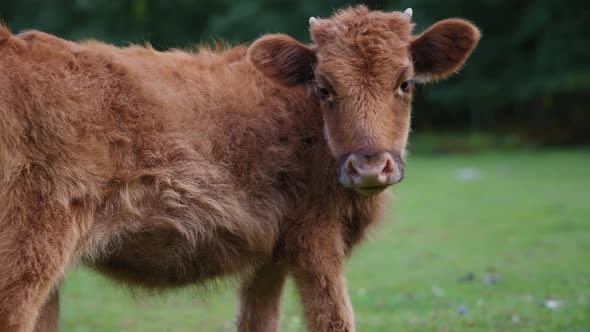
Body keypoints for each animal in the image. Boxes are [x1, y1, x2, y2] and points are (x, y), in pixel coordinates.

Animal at [0, 5, 480, 332]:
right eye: (325, 87)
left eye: (405, 82)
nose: (369, 167)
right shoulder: (316, 239)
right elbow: (334, 319)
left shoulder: (271, 255)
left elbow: (258, 321)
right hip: (30, 251)